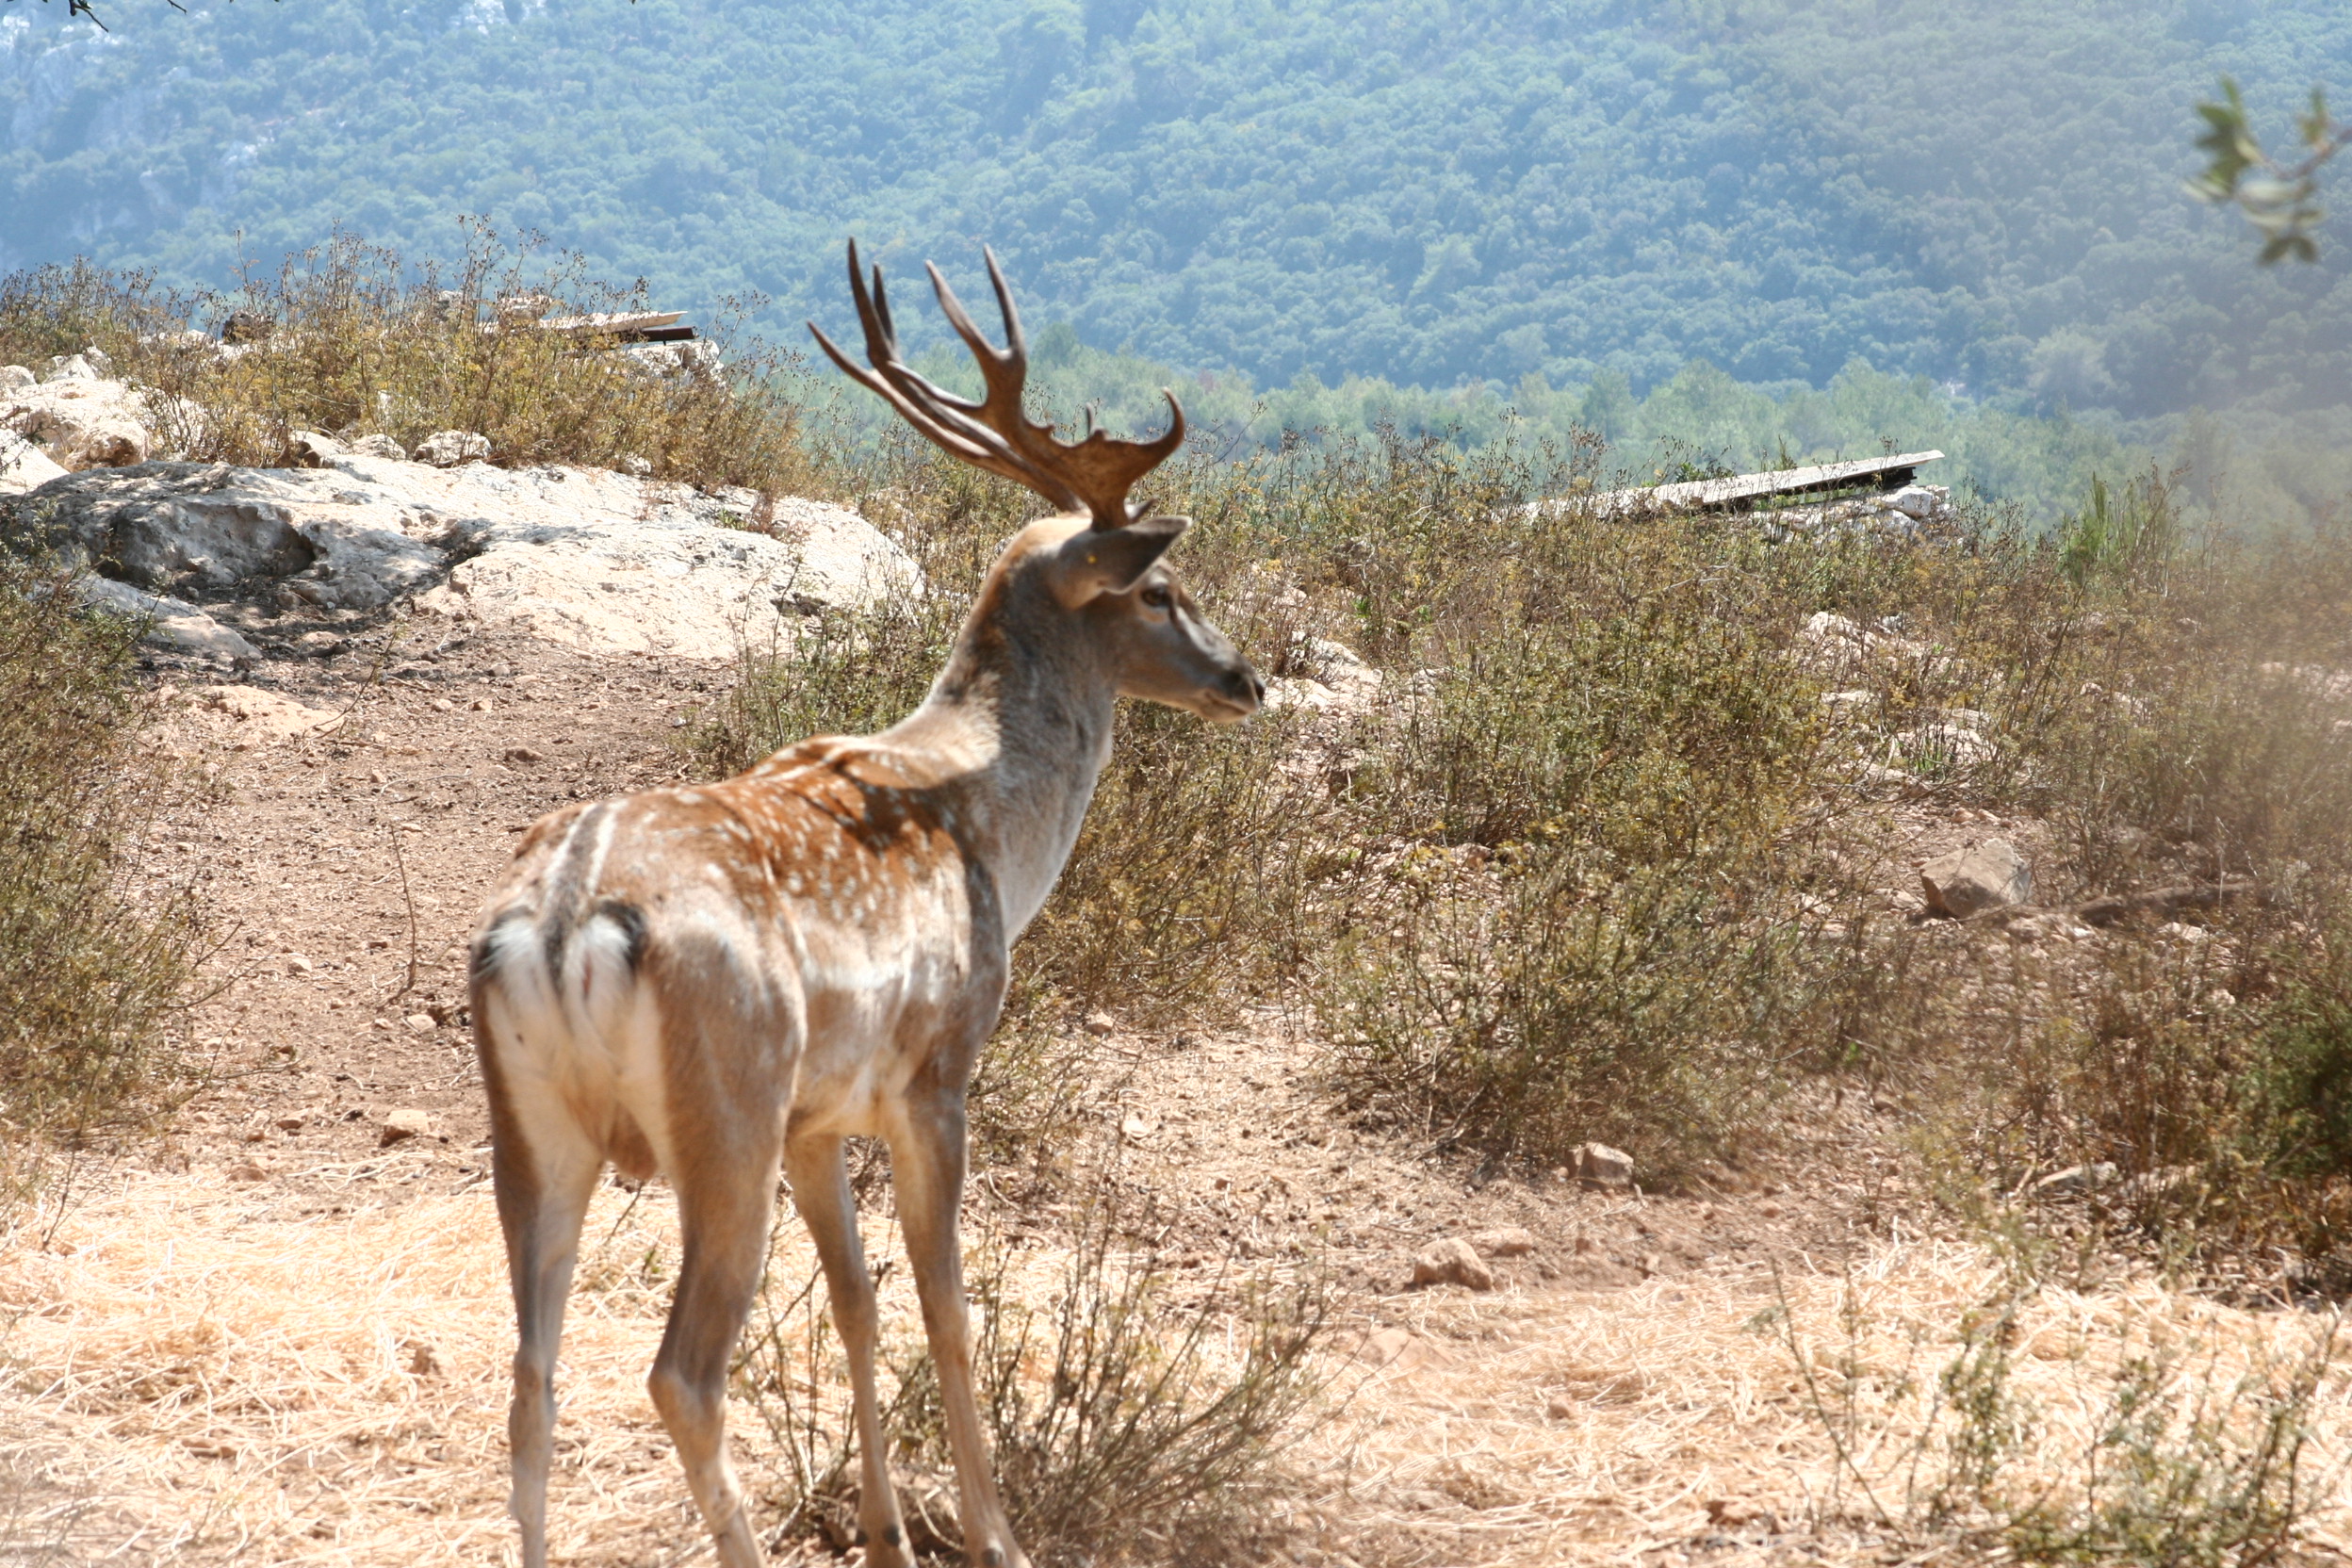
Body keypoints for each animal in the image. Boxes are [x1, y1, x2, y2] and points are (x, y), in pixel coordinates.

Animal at [467, 240, 1264, 1568]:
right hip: (723, 1105)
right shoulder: (933, 1070)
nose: (1247, 678)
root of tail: (569, 912)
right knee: (680, 1373)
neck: (992, 830)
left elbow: (855, 1301)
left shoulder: (816, 1116)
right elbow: (944, 1303)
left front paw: (889, 1530)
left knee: (531, 1368)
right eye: (1161, 591)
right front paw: (996, 1535)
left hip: (532, 1122)